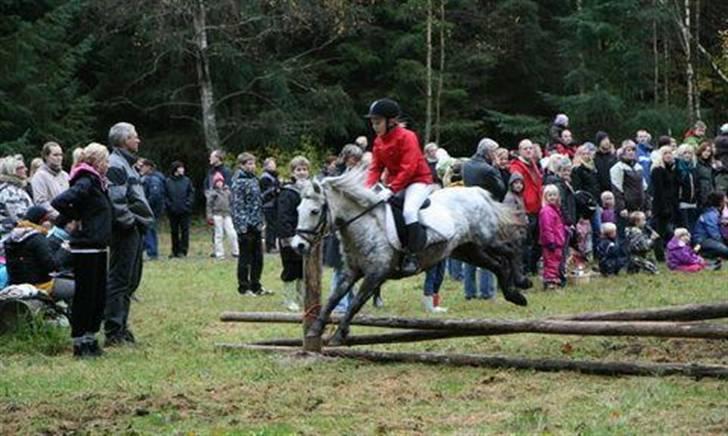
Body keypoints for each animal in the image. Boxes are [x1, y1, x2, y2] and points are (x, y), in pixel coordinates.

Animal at [292, 165, 528, 346]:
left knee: (511, 250)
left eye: (314, 211)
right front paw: (315, 329)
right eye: (298, 210)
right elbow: (334, 297)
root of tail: (476, 192)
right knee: (497, 265)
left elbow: (356, 302)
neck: (365, 224)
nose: (298, 246)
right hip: (466, 250)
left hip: (486, 238)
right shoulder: (352, 272)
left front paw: (338, 336)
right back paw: (514, 295)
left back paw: (522, 282)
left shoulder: (376, 275)